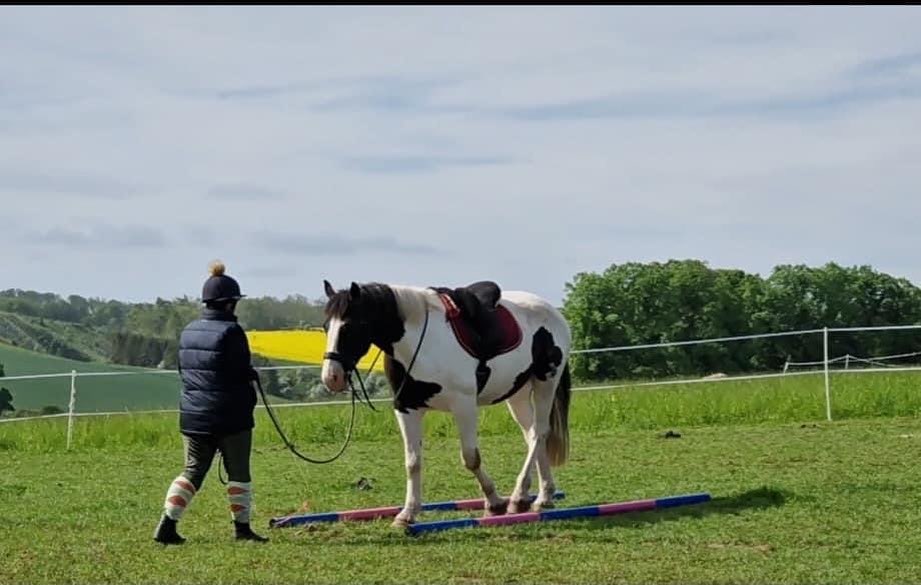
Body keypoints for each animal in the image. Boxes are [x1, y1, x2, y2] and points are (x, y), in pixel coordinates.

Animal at [320, 279, 572, 528]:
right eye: (325, 327)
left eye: (351, 326)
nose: (332, 377)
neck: (419, 343)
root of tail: (552, 312)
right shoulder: (406, 409)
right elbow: (413, 462)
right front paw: (408, 513)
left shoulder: (464, 405)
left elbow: (471, 458)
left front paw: (494, 502)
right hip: (517, 393)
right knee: (531, 435)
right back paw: (543, 496)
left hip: (546, 382)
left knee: (539, 432)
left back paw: (519, 498)